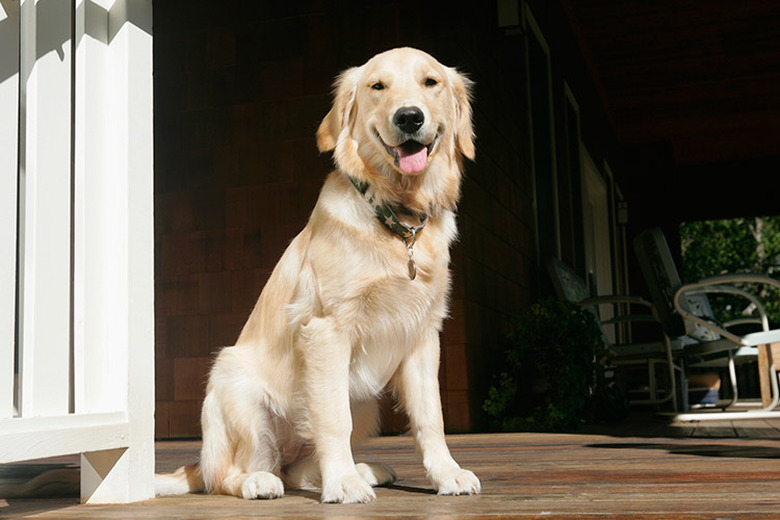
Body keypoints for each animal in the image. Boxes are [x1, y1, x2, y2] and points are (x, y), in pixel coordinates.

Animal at [155, 46, 478, 502]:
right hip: (235, 383)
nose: (409, 117)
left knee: (297, 469)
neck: (398, 217)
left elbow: (431, 416)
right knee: (232, 474)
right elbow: (333, 419)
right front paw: (341, 483)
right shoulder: (327, 330)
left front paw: (447, 473)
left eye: (430, 82)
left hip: (365, 401)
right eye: (378, 86)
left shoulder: (422, 335)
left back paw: (364, 469)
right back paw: (261, 480)